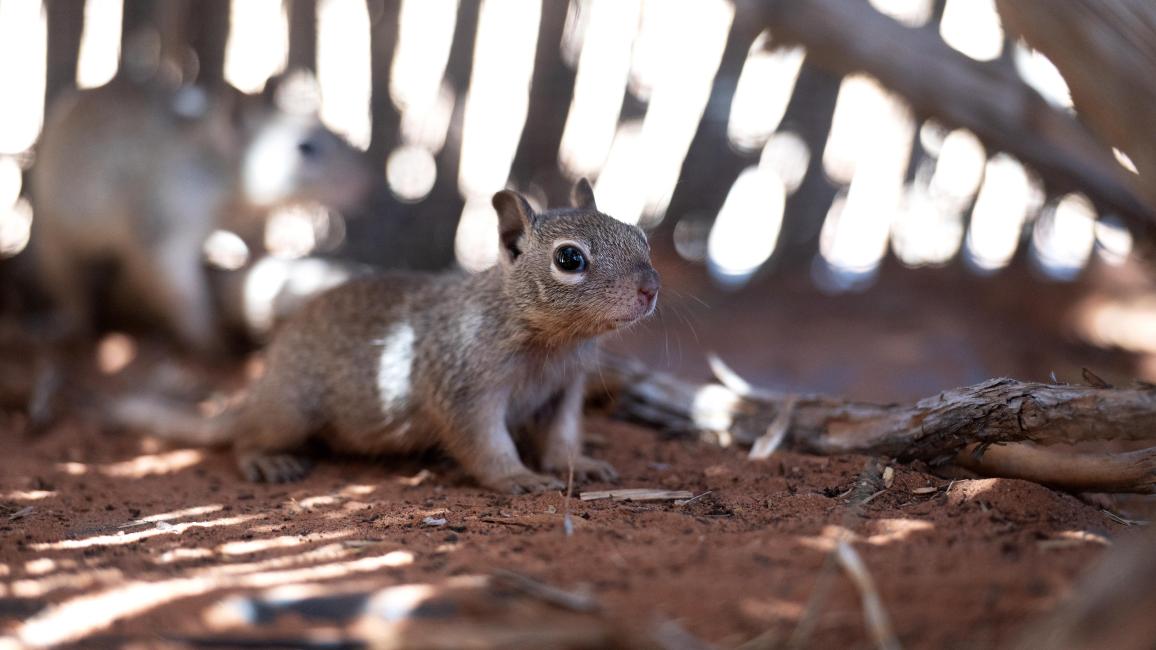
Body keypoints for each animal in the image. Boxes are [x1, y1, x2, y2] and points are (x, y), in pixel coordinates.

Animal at [114, 179, 660, 493]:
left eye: (640, 237)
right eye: (569, 259)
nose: (650, 289)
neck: (552, 342)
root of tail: (259, 391)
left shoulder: (565, 389)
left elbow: (562, 436)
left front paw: (579, 464)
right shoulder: (463, 389)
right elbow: (485, 442)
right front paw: (517, 477)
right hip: (291, 412)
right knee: (245, 438)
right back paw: (267, 461)